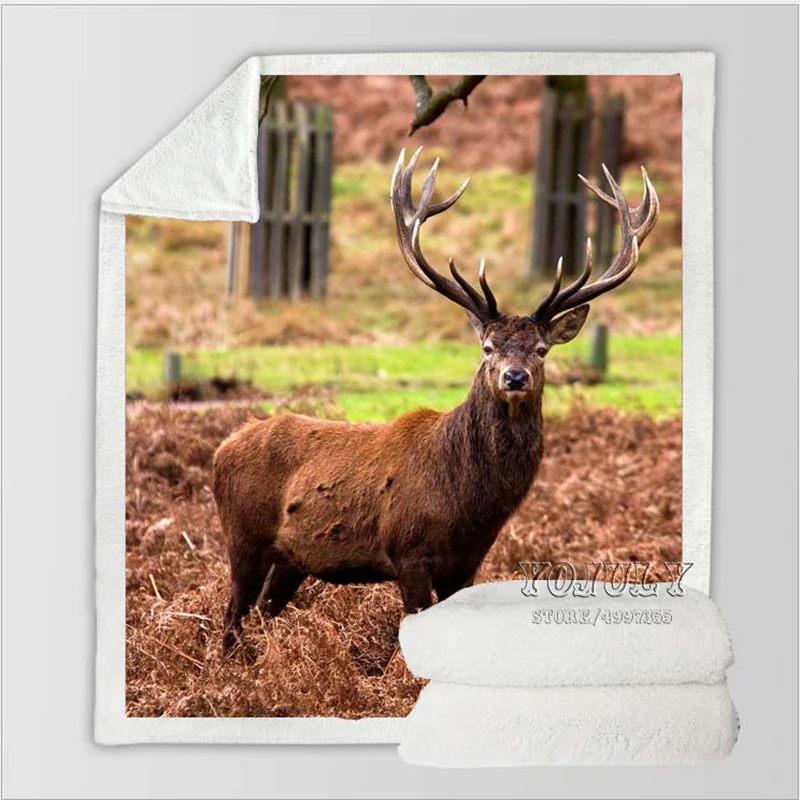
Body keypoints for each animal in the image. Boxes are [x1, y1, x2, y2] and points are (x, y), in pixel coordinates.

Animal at [214, 147, 659, 654]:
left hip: (291, 559)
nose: (515, 377)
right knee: (231, 618)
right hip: (244, 538)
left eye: (542, 349)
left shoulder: (466, 564)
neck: (467, 505)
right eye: (487, 347)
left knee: (260, 616)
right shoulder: (407, 550)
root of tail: (223, 447)